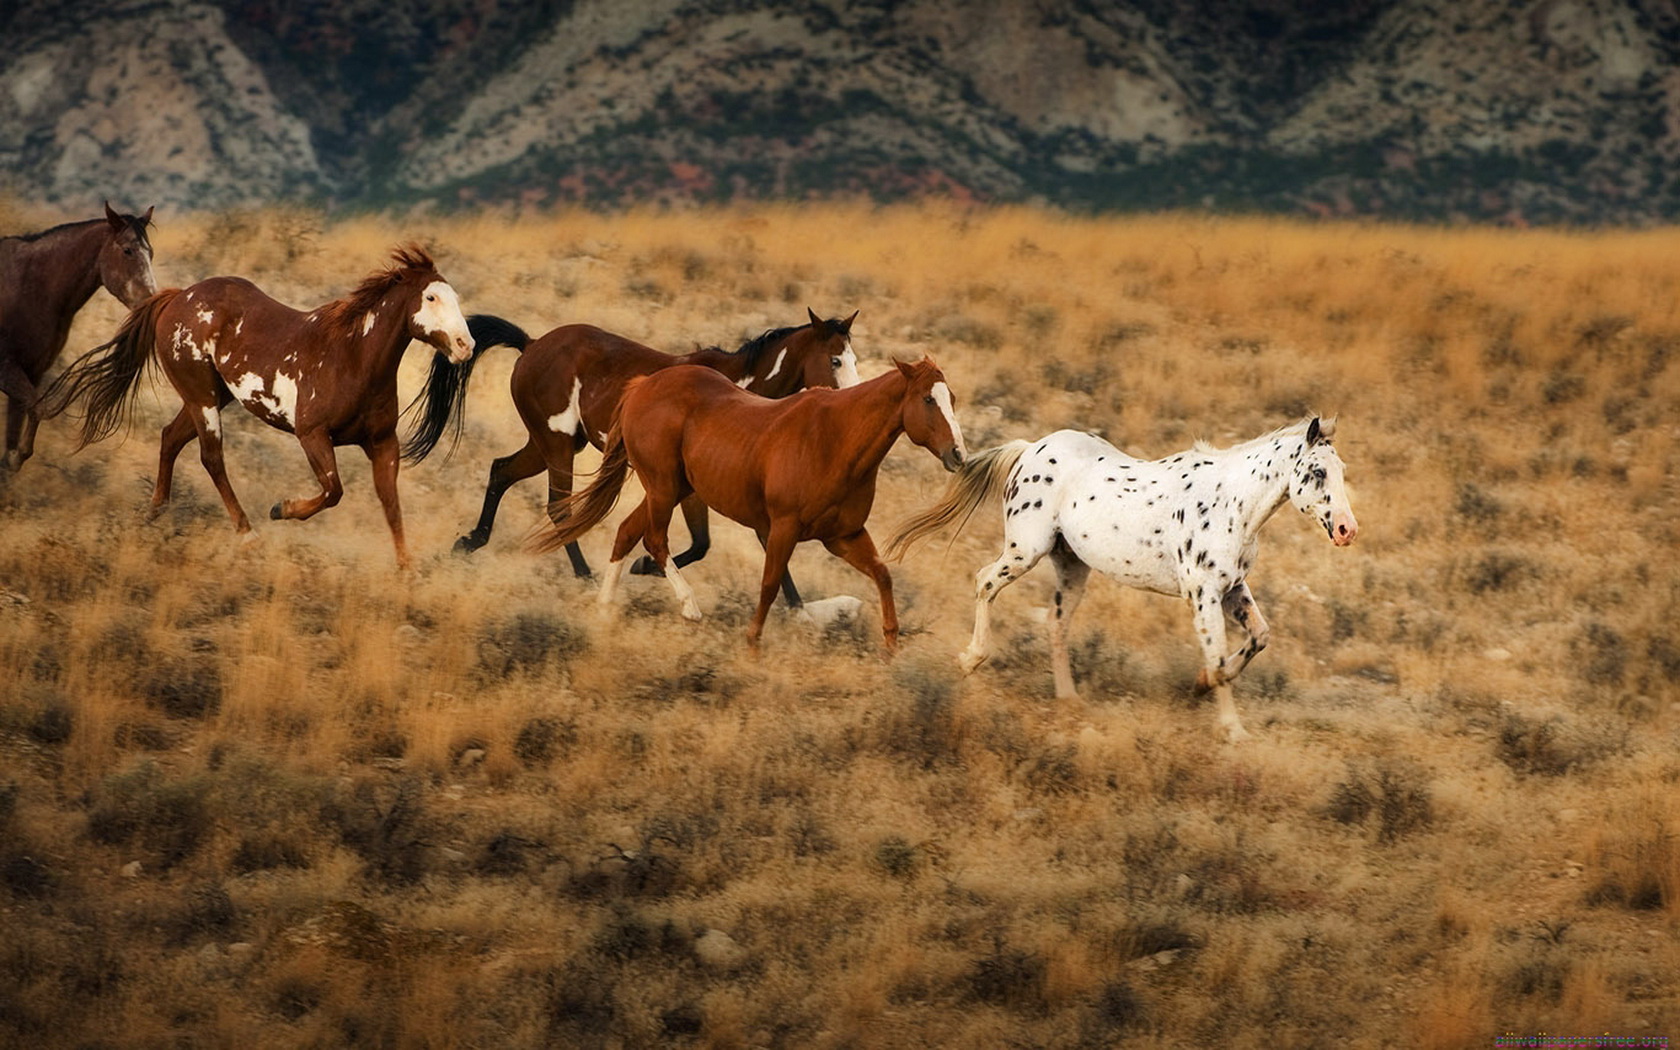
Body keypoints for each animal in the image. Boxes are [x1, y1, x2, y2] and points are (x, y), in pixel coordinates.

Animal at [0, 201, 156, 470]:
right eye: (127, 251)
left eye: (151, 253)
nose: (152, 302)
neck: (31, 286)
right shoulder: (7, 369)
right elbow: (39, 410)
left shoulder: (30, 372)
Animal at [42, 245, 477, 564]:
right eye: (431, 296)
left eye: (457, 297)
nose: (465, 345)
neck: (353, 357)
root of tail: (177, 298)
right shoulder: (312, 435)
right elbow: (333, 490)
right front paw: (280, 509)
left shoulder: (383, 443)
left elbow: (391, 504)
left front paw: (407, 571)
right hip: (201, 398)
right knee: (211, 458)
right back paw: (247, 533)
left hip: (212, 397)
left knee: (170, 438)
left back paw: (154, 513)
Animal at [414, 307, 860, 591]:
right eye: (835, 360)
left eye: (853, 357)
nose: (853, 399)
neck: (738, 389)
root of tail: (532, 343)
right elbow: (702, 544)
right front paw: (645, 566)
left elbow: (754, 545)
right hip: (557, 446)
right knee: (559, 507)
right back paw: (584, 575)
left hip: (548, 444)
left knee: (501, 470)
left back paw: (470, 542)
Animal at [530, 356, 967, 641]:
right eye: (929, 400)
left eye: (952, 397)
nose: (958, 454)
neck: (834, 439)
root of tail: (642, 387)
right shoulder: (783, 528)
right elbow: (771, 584)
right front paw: (752, 643)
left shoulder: (843, 536)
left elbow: (882, 575)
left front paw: (891, 643)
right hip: (663, 487)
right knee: (654, 539)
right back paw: (689, 607)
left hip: (673, 489)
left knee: (625, 531)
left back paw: (605, 608)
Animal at [887, 413, 1357, 742]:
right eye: (1317, 472)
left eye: (1342, 471)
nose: (1346, 530)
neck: (1230, 504)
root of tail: (1029, 449)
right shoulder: (1203, 594)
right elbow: (1220, 661)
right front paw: (1232, 729)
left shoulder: (1232, 589)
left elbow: (1258, 638)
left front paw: (1200, 686)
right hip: (1025, 550)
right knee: (985, 582)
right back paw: (970, 660)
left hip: (1072, 567)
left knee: (1056, 624)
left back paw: (1068, 699)